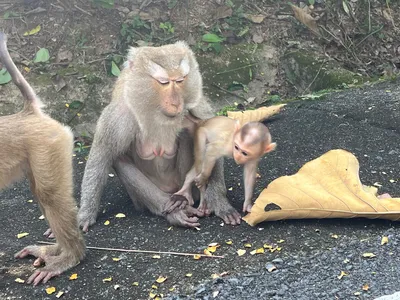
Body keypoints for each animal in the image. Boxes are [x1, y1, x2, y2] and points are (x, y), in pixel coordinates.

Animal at [0, 32, 84, 286]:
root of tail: (28, 113)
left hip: (49, 143)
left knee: (49, 194)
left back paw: (70, 256)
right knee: (40, 192)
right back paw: (54, 250)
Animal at [78, 41, 241, 229]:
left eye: (180, 80)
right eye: (164, 82)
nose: (176, 102)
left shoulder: (197, 105)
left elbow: (213, 138)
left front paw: (219, 202)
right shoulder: (119, 115)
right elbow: (100, 157)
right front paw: (85, 214)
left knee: (189, 132)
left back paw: (185, 198)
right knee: (119, 159)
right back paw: (173, 211)